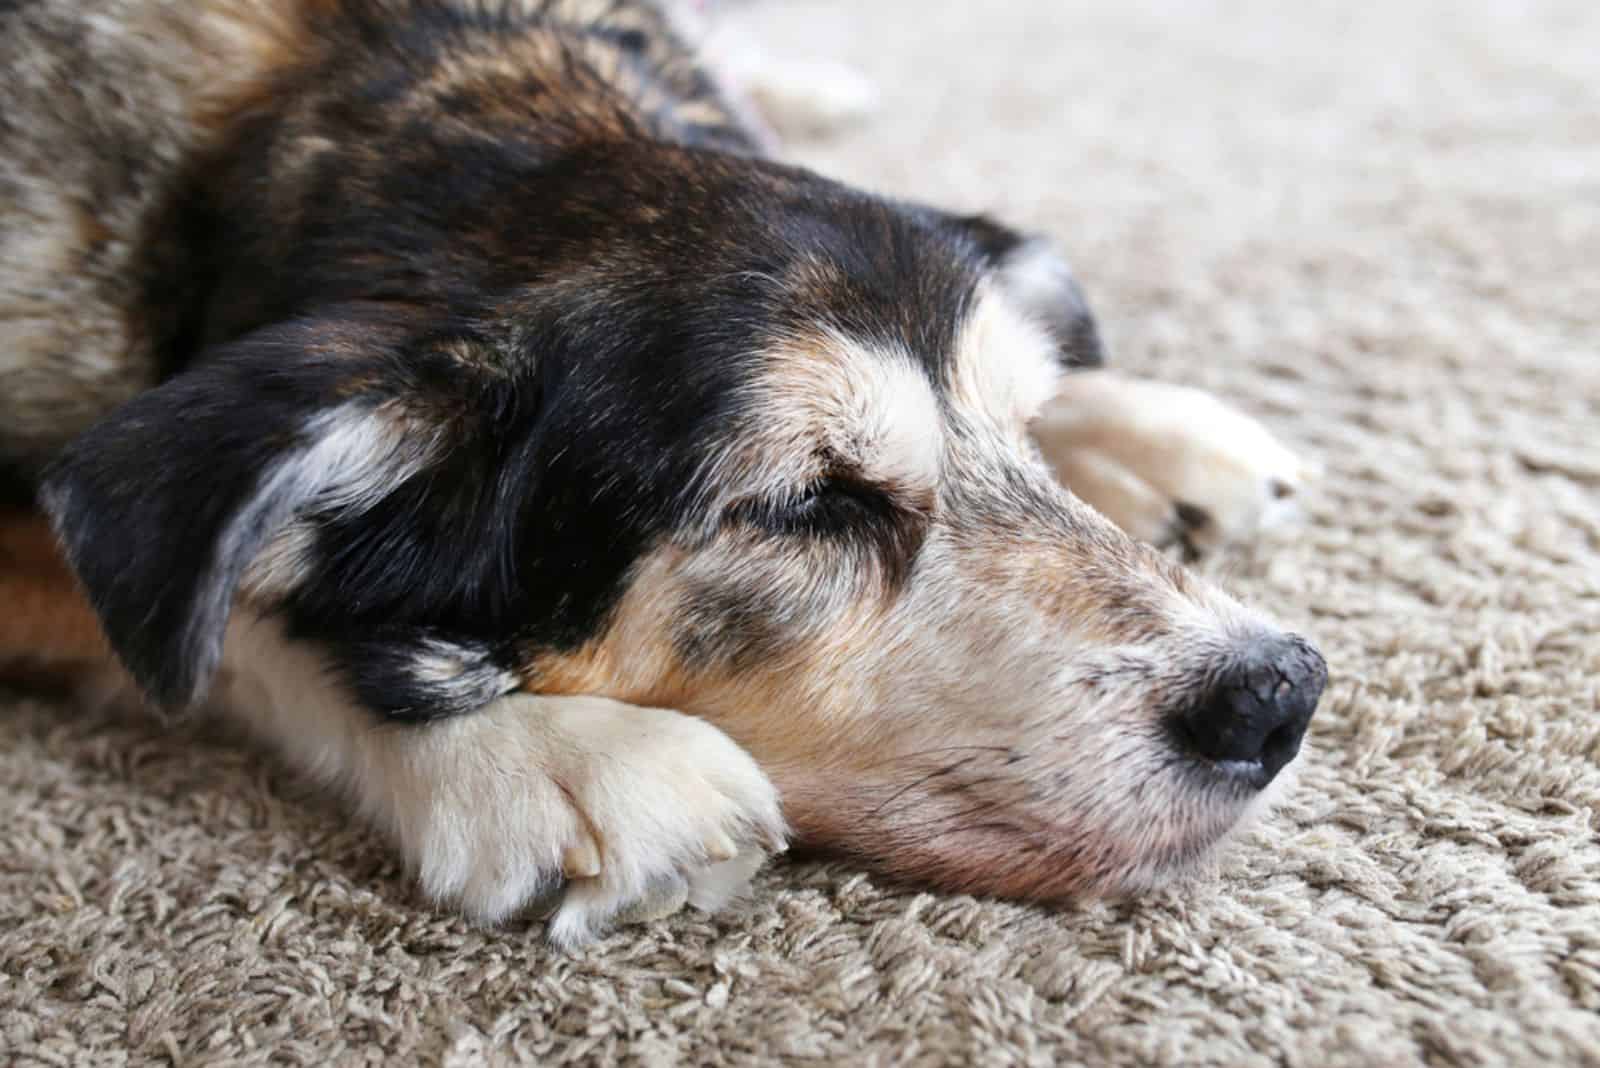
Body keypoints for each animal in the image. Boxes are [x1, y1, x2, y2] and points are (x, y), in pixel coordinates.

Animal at [0, 2, 1324, 952]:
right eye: (811, 504)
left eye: (1023, 429)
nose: (1279, 696)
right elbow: (219, 613)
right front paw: (540, 754)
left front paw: (1129, 418)